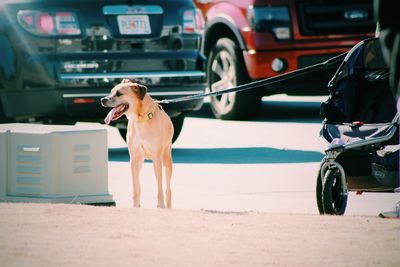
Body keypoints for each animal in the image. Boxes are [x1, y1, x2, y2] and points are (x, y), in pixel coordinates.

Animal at [101, 79, 173, 209]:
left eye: (119, 93)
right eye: (111, 91)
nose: (102, 99)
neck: (141, 120)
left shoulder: (157, 158)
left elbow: (159, 186)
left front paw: (160, 205)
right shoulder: (134, 158)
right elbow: (135, 187)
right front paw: (135, 206)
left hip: (166, 160)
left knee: (167, 189)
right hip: (140, 161)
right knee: (138, 185)